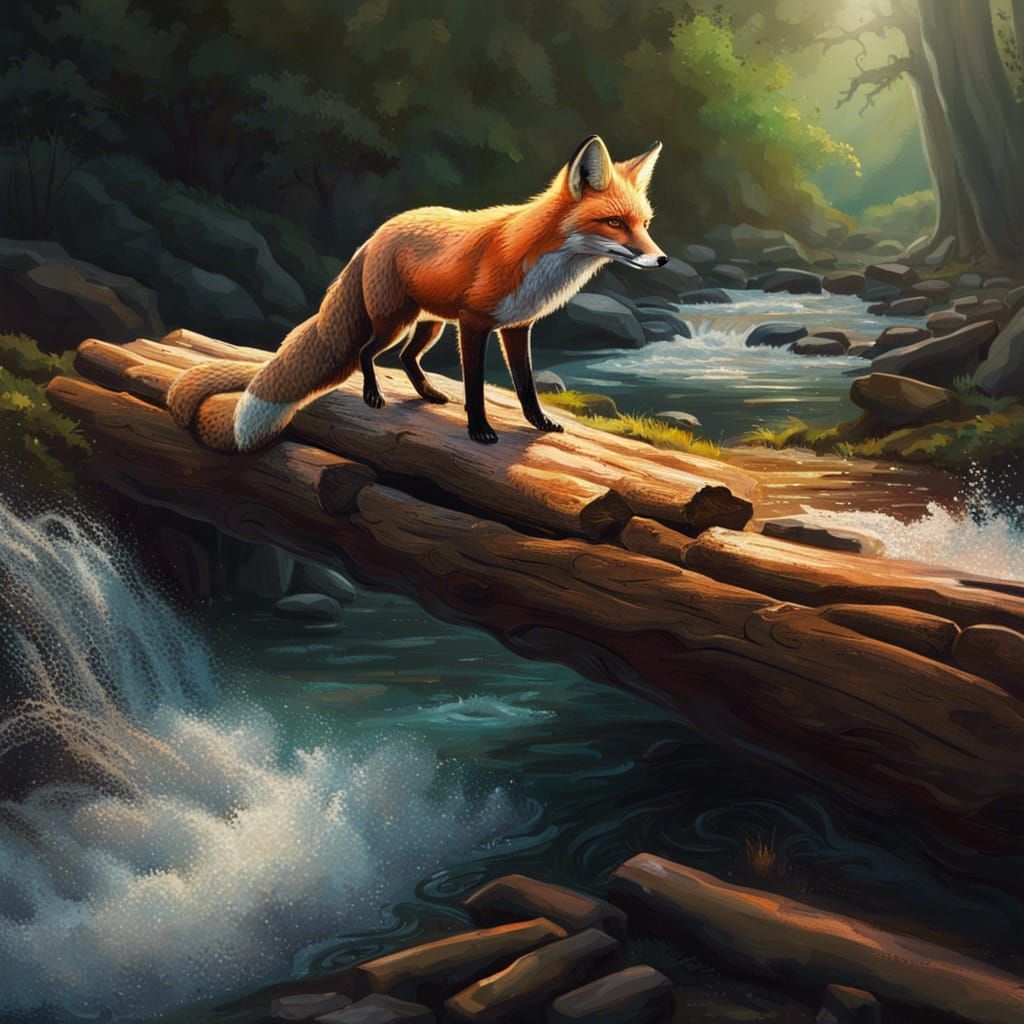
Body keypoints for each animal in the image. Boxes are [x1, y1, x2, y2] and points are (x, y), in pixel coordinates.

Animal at [167, 134, 666, 450]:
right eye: (614, 223)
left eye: (644, 223)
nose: (661, 260)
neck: (539, 260)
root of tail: (378, 232)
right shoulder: (475, 323)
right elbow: (475, 388)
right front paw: (479, 431)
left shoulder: (516, 327)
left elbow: (525, 386)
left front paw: (540, 423)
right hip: (397, 320)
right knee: (367, 353)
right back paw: (373, 397)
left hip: (430, 325)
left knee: (407, 358)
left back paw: (427, 394)